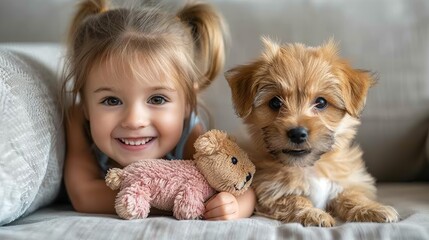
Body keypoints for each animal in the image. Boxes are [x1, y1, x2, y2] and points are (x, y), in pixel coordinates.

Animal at [226, 38, 400, 227]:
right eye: (275, 102)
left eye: (321, 102)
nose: (297, 133)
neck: (309, 167)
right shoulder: (270, 191)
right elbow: (295, 199)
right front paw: (314, 214)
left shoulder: (346, 181)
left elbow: (351, 195)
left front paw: (372, 209)